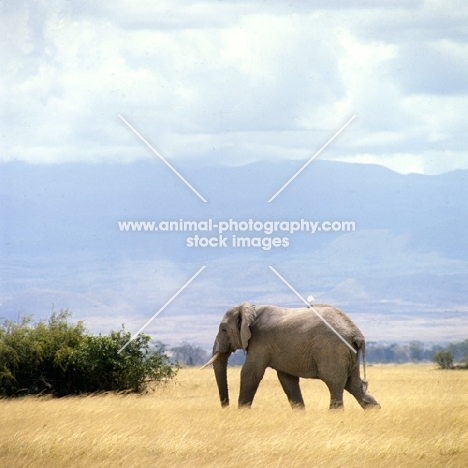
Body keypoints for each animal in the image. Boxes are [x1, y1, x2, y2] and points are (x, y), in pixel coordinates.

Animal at [201, 304, 380, 410]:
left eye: (223, 329)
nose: (226, 408)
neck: (251, 308)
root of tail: (356, 334)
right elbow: (286, 379)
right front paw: (300, 413)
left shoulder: (260, 341)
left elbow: (250, 373)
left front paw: (242, 412)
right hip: (349, 354)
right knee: (354, 385)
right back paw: (375, 412)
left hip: (333, 350)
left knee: (335, 384)